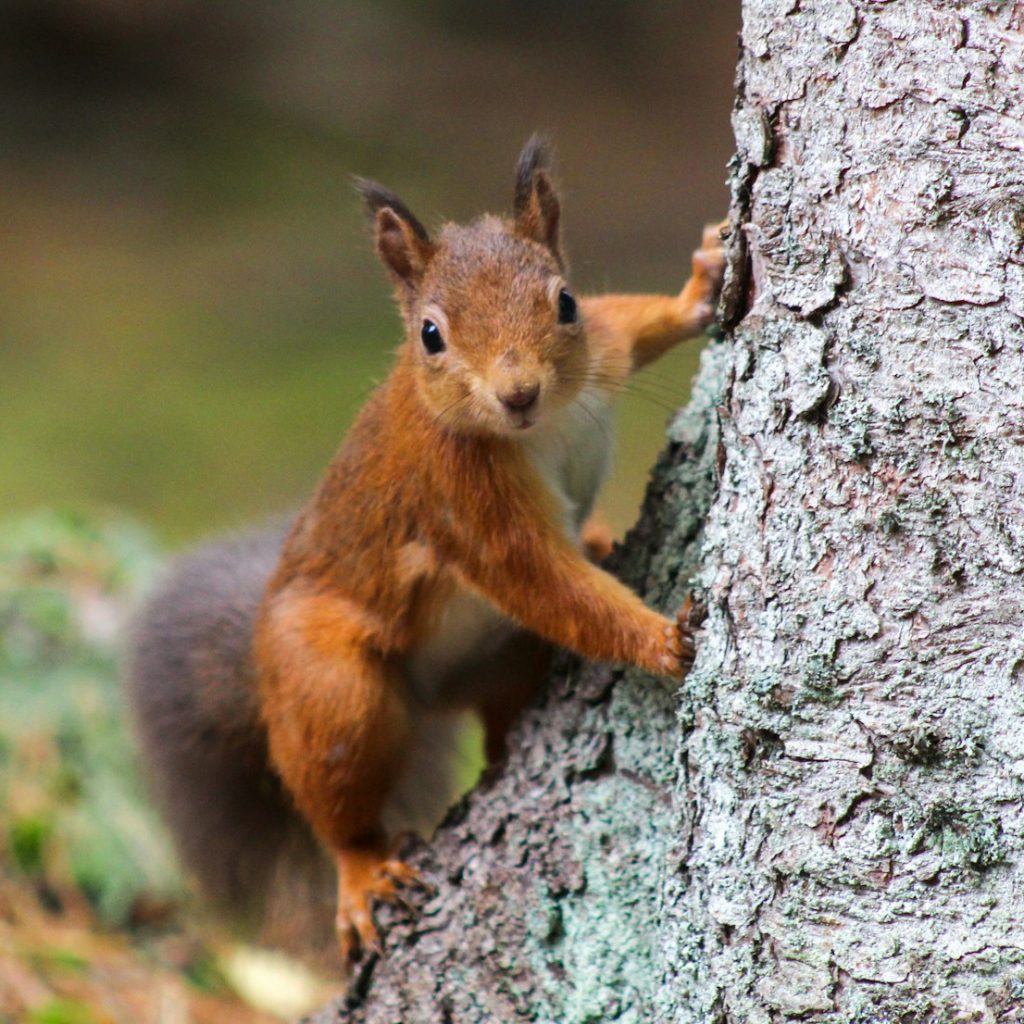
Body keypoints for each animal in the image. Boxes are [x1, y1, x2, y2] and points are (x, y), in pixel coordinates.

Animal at [126, 136, 726, 966]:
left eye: (565, 301)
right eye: (430, 336)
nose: (518, 392)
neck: (541, 428)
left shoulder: (600, 352)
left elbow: (631, 322)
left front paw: (702, 283)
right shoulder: (465, 504)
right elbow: (549, 585)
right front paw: (663, 639)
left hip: (505, 661)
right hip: (330, 689)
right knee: (335, 797)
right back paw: (362, 872)